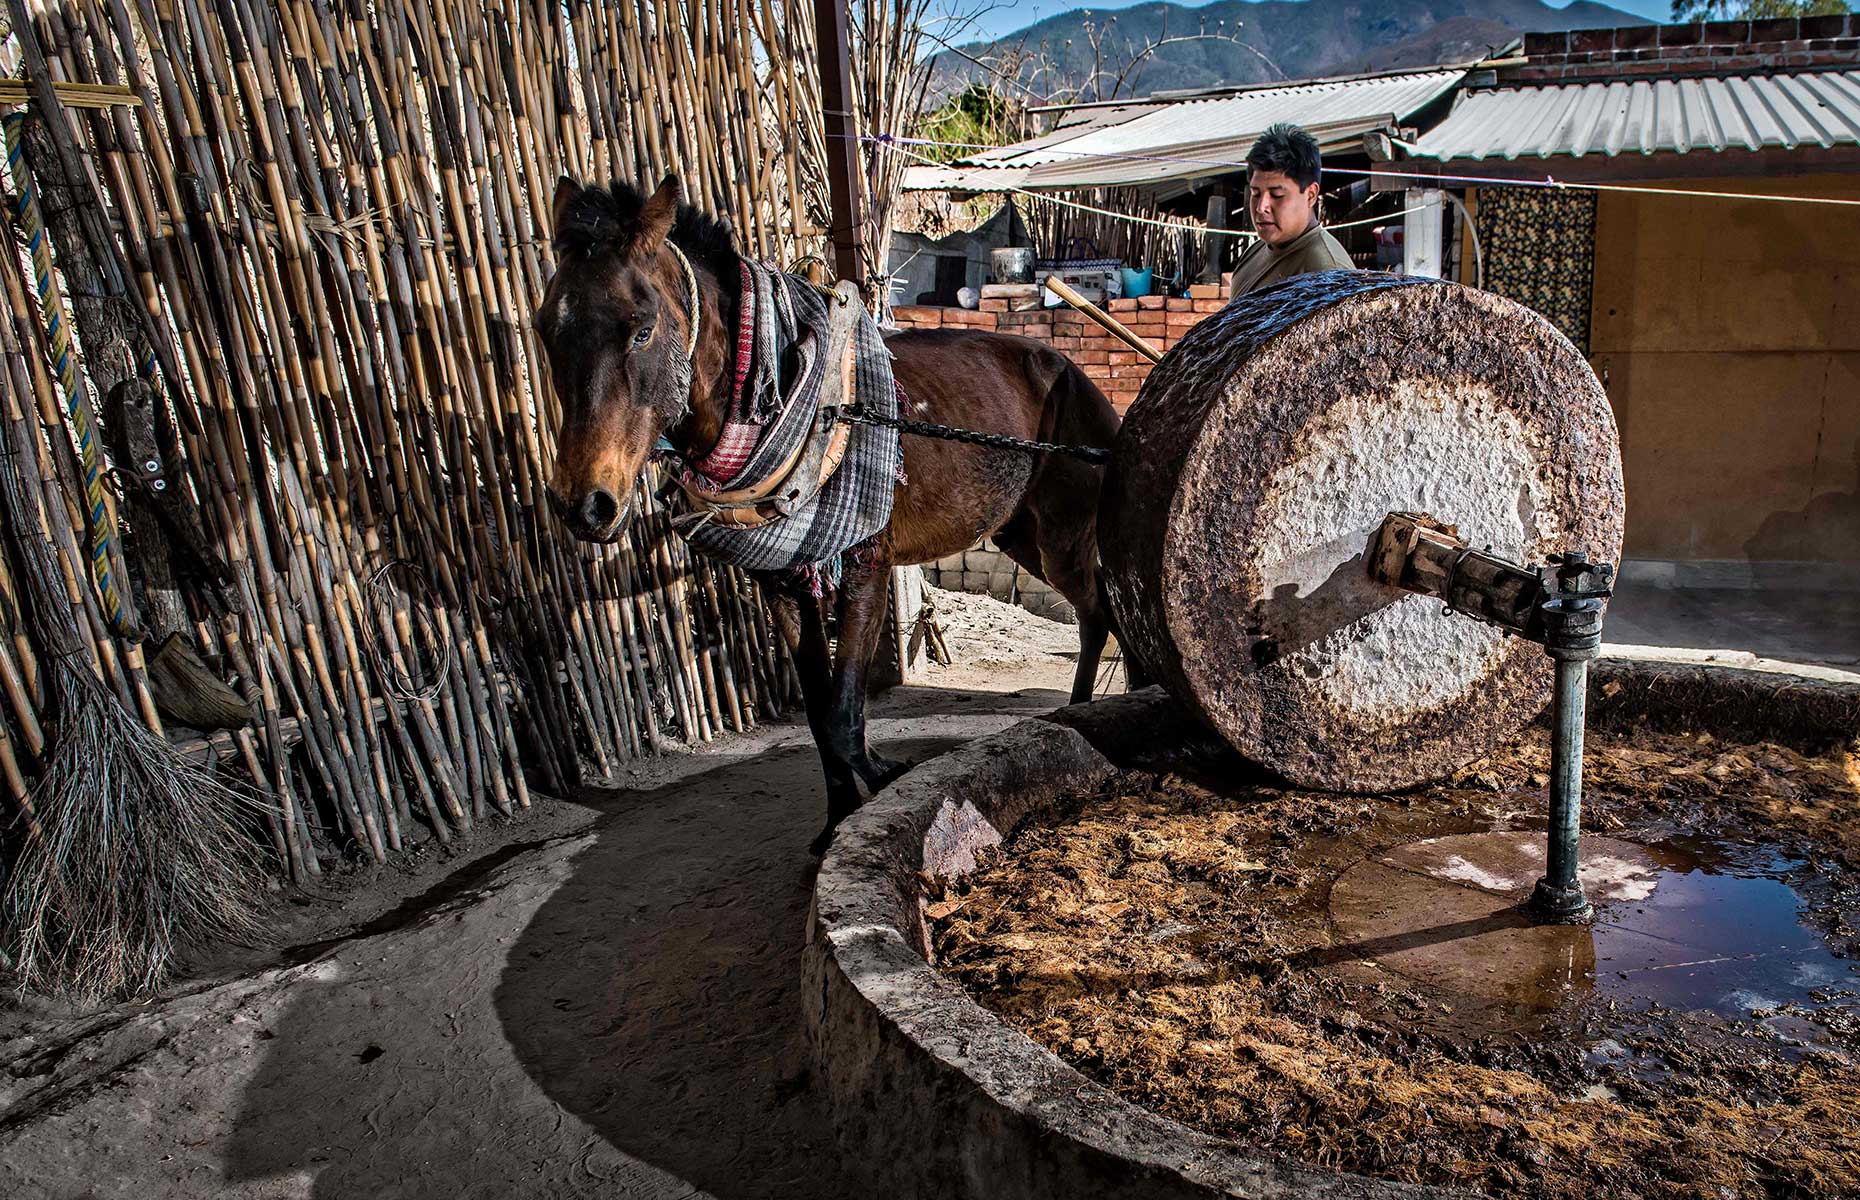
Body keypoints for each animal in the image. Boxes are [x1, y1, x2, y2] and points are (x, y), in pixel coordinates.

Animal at [535, 175, 1116, 852]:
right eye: (546, 330)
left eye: (641, 330)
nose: (584, 504)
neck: (790, 400)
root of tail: (1073, 372)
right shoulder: (782, 584)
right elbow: (820, 715)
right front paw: (839, 817)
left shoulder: (864, 566)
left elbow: (842, 715)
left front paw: (884, 776)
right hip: (1019, 534)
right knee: (1096, 609)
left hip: (1061, 536)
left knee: (1099, 611)